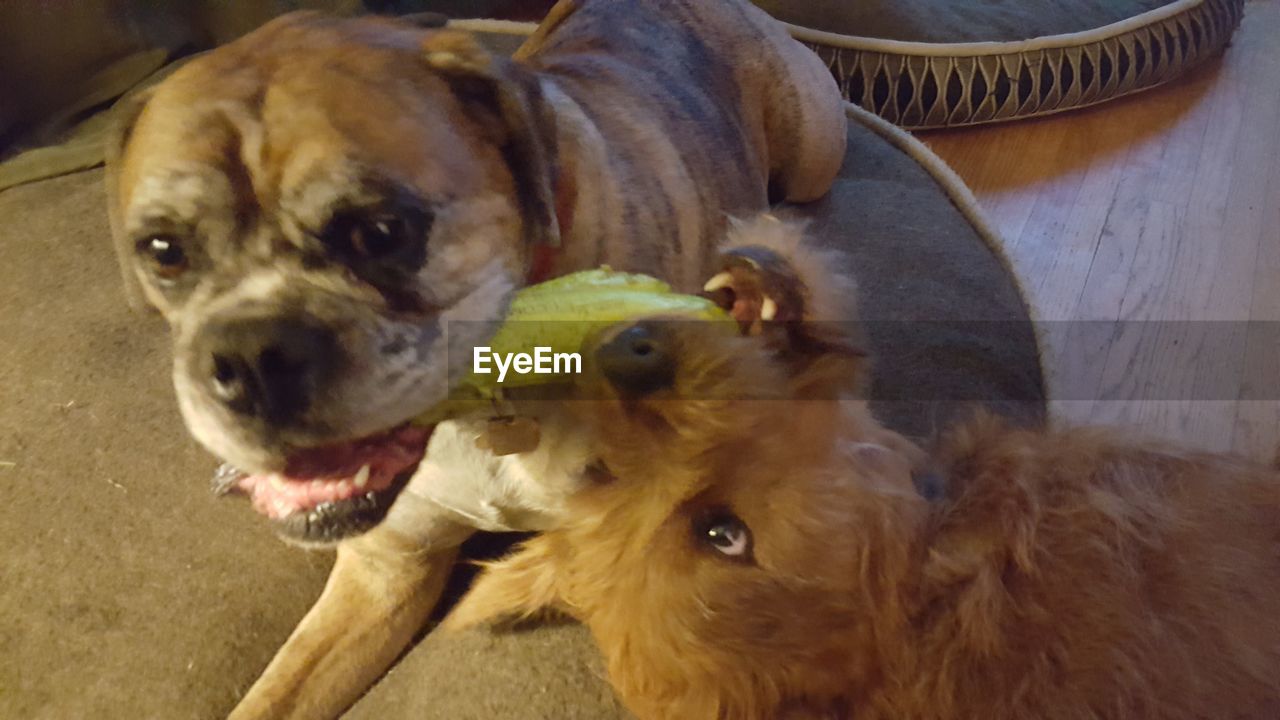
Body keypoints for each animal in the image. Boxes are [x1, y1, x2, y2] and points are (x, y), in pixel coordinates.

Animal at [102, 2, 849, 712]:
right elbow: (272, 697)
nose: (248, 358)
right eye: (162, 250)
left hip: (814, 155)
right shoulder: (382, 576)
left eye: (381, 230)